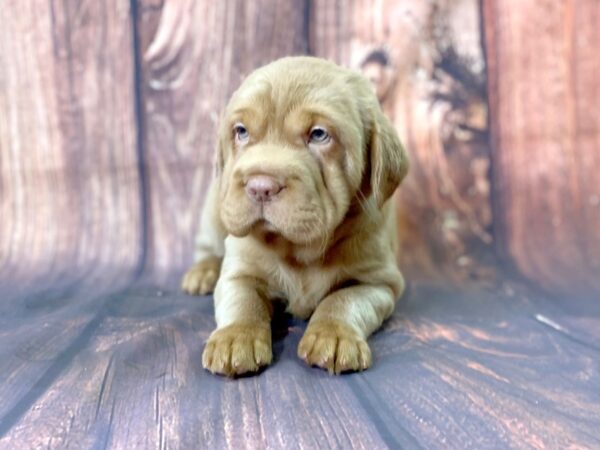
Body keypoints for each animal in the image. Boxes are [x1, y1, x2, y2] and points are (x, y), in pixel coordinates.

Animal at [182, 56, 408, 376]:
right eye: (241, 131)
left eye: (319, 135)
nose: (260, 187)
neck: (298, 249)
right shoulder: (239, 271)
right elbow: (243, 301)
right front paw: (235, 338)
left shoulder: (378, 282)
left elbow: (343, 300)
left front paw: (333, 336)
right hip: (215, 210)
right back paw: (202, 272)